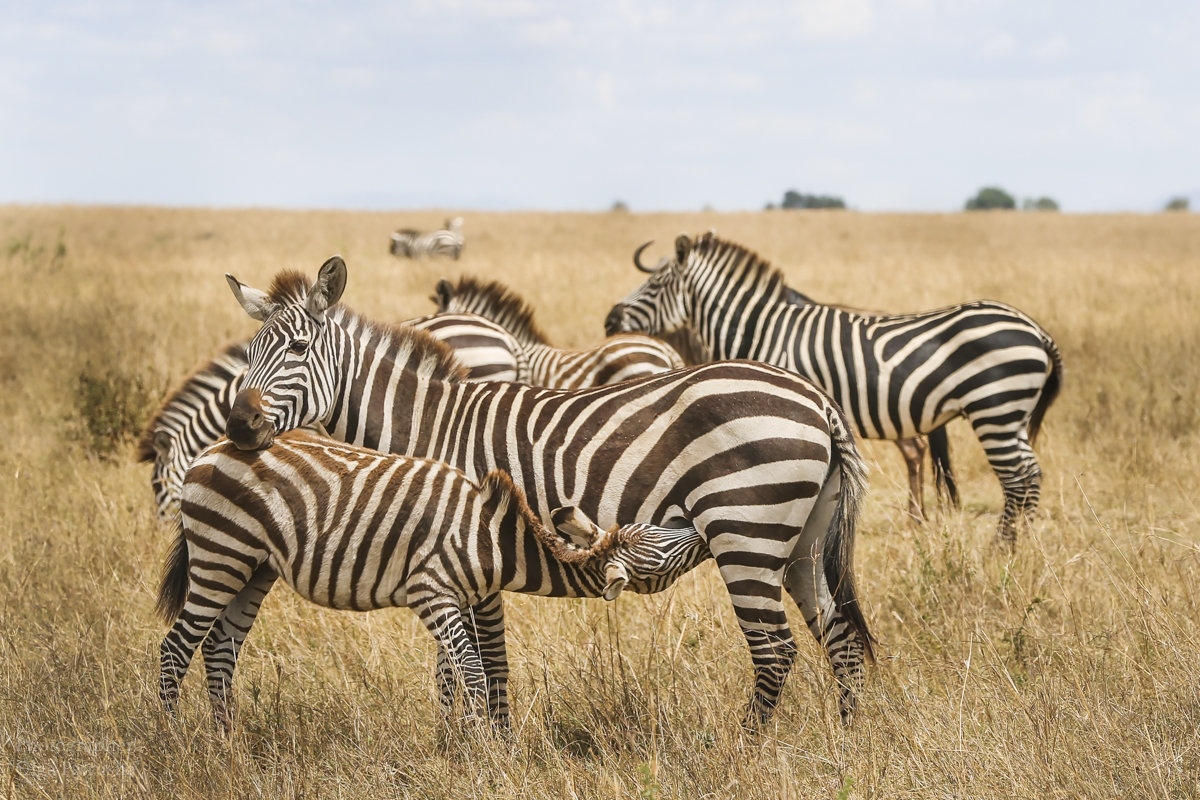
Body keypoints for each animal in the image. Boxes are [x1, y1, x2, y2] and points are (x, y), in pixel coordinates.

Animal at [154, 429, 705, 734]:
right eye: (662, 550)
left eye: (656, 531)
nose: (701, 528)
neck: (494, 540)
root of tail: (212, 450)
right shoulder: (431, 592)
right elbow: (474, 674)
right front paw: (483, 755)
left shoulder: (457, 600)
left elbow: (454, 676)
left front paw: (454, 746)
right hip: (221, 554)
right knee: (177, 648)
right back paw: (174, 743)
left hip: (255, 567)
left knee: (220, 647)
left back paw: (227, 740)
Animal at [604, 231, 1065, 544]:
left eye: (654, 285)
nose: (609, 320)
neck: (763, 328)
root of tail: (1037, 330)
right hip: (1012, 414)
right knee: (1031, 474)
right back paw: (1022, 545)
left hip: (995, 408)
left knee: (1017, 477)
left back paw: (1002, 547)